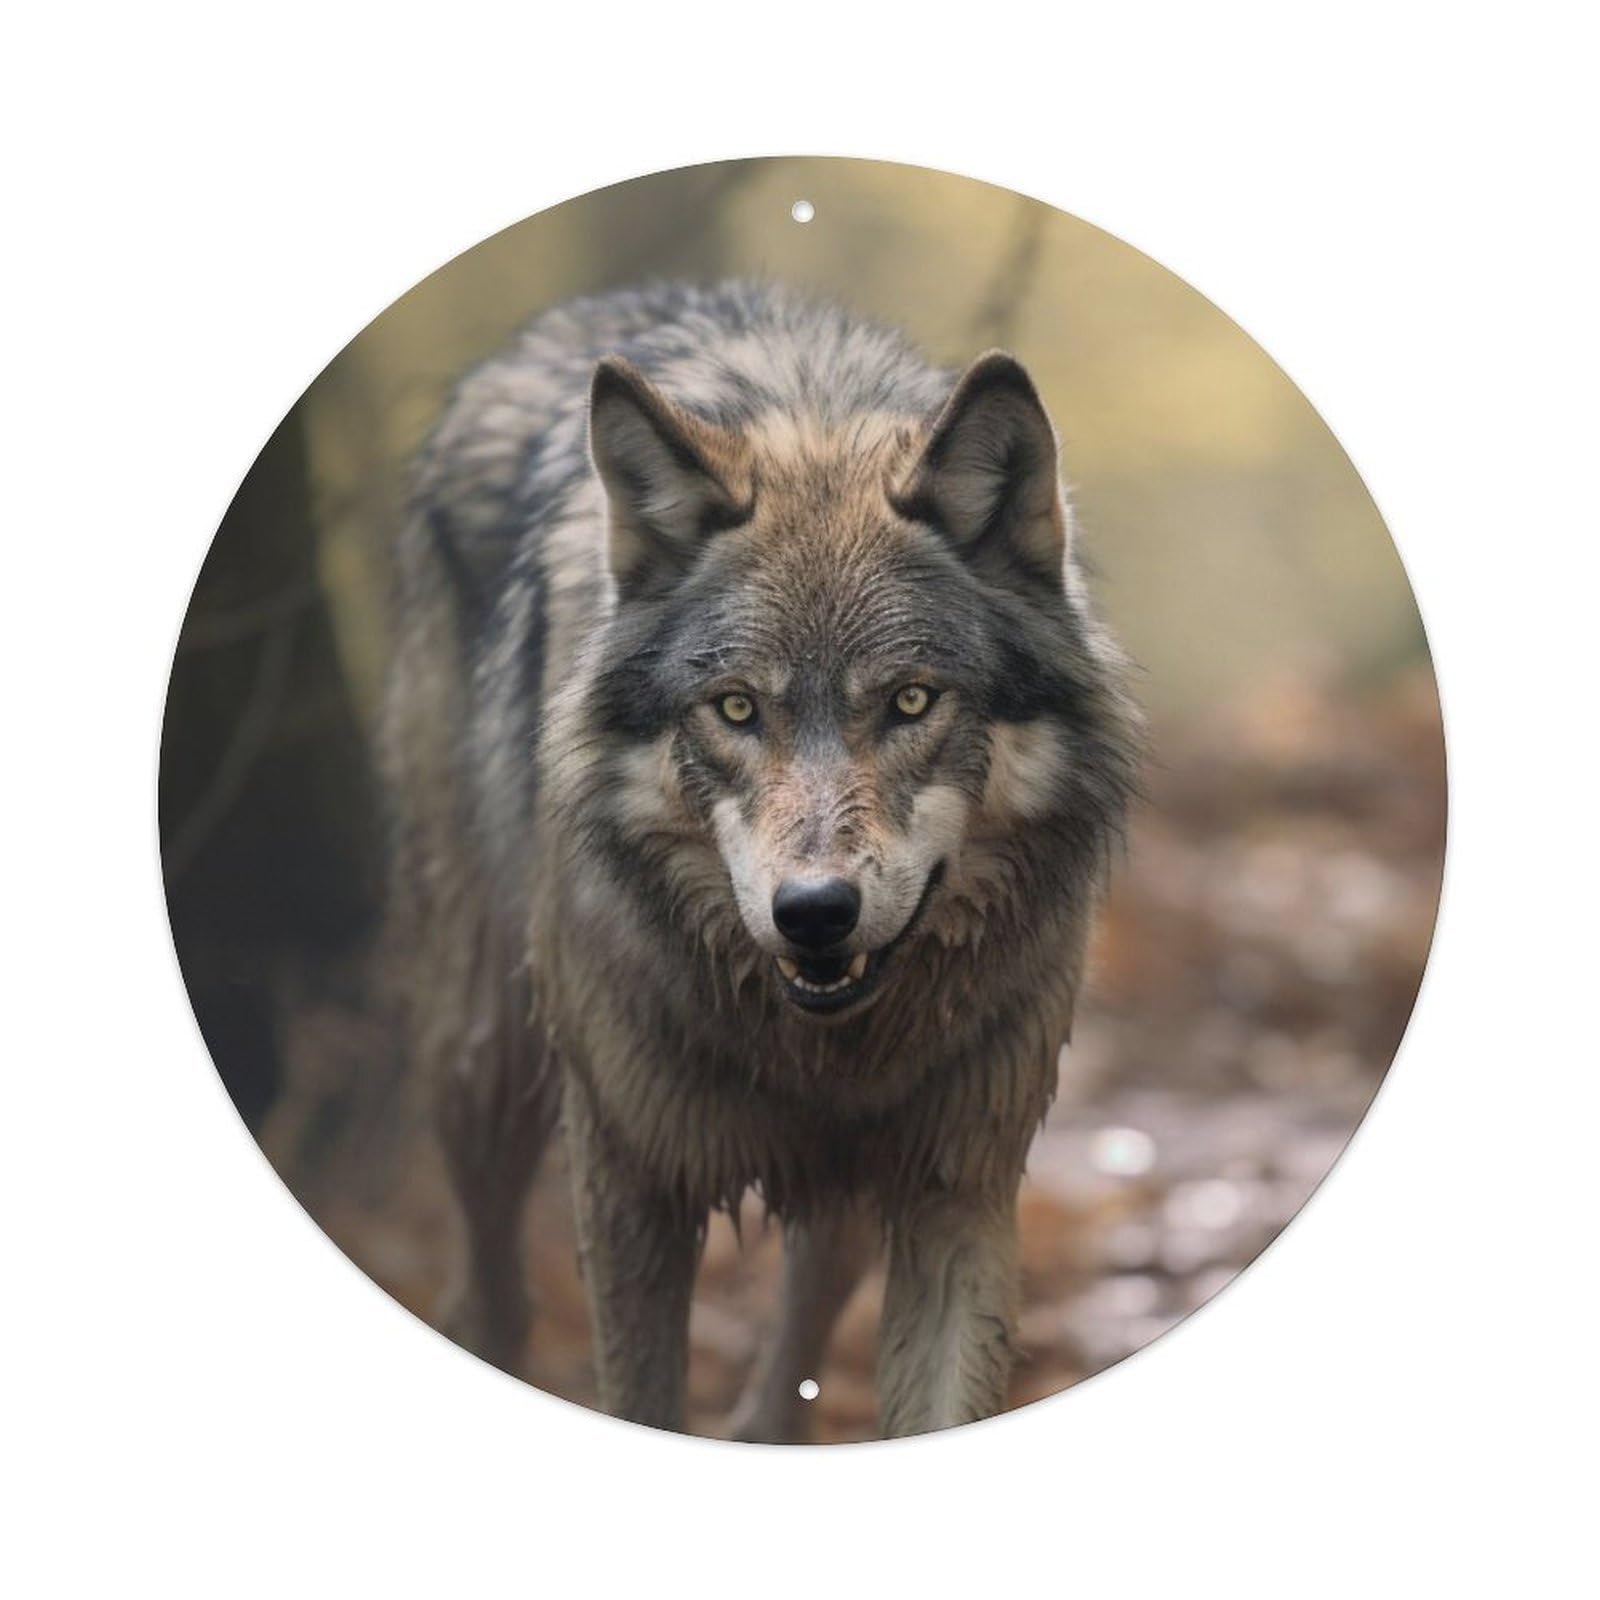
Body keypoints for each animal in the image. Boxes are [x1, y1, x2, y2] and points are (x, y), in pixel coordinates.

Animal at [379, 280, 1139, 1439]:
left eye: (910, 699)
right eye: (735, 708)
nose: (813, 910)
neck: (813, 1048)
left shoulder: (959, 1185)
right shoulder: (631, 1179)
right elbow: (638, 1389)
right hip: (485, 1061)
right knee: (488, 1292)